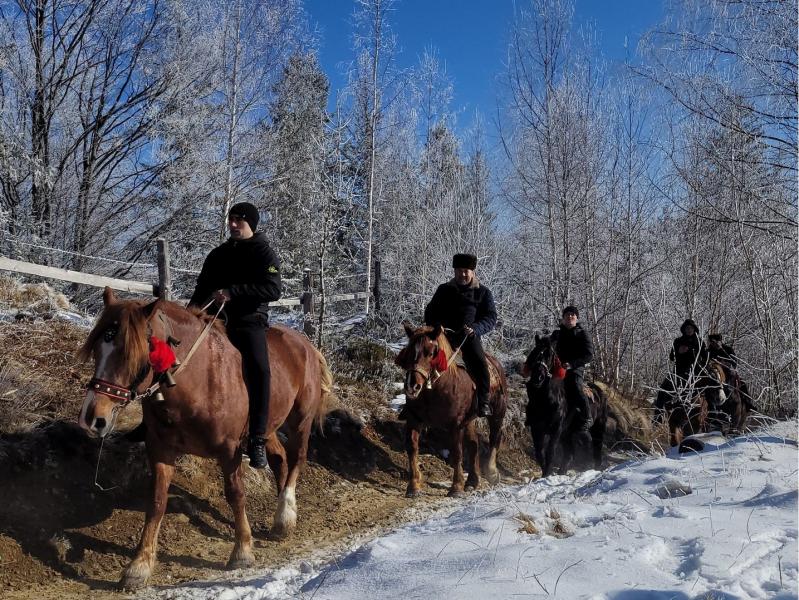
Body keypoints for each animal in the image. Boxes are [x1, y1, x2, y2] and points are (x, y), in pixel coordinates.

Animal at [77, 290, 332, 592]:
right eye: (97, 350)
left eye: (133, 354)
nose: (93, 417)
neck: (197, 381)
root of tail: (306, 344)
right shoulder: (161, 450)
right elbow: (157, 502)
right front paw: (138, 566)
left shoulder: (229, 450)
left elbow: (235, 494)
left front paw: (242, 551)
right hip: (267, 427)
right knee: (279, 458)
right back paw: (283, 519)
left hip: (300, 421)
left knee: (296, 459)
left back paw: (286, 512)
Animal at [394, 324, 506, 496]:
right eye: (409, 351)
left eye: (431, 353)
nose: (412, 386)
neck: (437, 388)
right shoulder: (414, 419)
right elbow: (412, 448)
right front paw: (413, 486)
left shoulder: (456, 424)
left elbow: (457, 452)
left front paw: (456, 487)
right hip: (469, 420)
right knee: (474, 444)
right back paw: (472, 481)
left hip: (497, 413)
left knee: (495, 437)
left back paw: (492, 472)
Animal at [520, 336, 608, 476]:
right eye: (534, 352)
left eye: (550, 355)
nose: (538, 378)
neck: (545, 400)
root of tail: (600, 391)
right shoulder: (537, 429)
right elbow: (539, 453)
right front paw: (545, 474)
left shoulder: (556, 430)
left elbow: (550, 453)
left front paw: (547, 474)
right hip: (567, 433)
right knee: (569, 454)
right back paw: (562, 472)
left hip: (597, 429)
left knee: (596, 452)